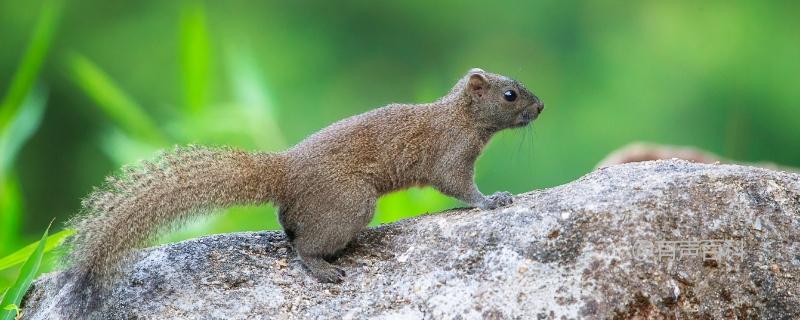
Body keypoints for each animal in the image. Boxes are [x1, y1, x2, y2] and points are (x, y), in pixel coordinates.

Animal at [61, 67, 544, 316]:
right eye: (510, 94)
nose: (541, 106)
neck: (459, 118)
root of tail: (286, 169)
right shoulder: (450, 155)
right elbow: (460, 186)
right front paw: (494, 200)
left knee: (290, 229)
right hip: (351, 201)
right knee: (304, 247)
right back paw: (327, 268)